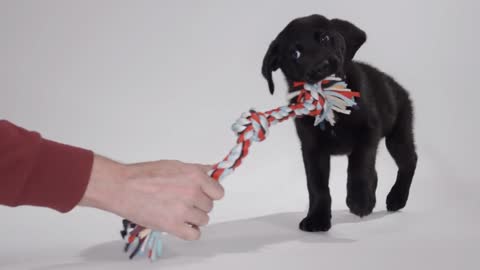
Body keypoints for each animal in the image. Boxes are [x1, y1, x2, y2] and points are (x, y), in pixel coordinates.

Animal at [262, 13, 416, 231]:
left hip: (398, 135)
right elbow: (317, 186)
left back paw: (396, 198)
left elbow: (359, 166)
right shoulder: (312, 148)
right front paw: (317, 218)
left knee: (409, 162)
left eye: (325, 38)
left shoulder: (368, 132)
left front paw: (360, 201)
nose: (322, 66)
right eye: (295, 54)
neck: (331, 103)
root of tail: (399, 87)